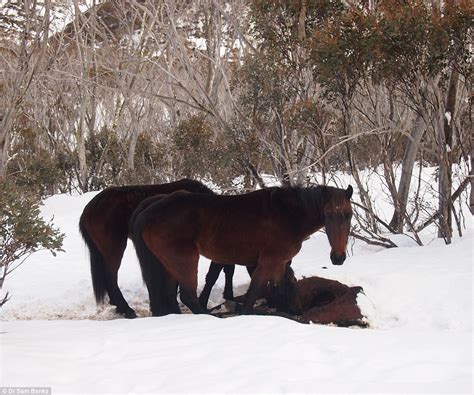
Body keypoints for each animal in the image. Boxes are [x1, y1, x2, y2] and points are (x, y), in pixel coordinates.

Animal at [132, 185, 352, 316]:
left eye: (349, 215)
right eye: (328, 214)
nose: (338, 257)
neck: (287, 215)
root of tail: (149, 211)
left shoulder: (279, 264)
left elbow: (280, 290)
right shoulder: (267, 262)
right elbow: (252, 294)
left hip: (169, 264)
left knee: (171, 296)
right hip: (185, 261)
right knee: (187, 296)